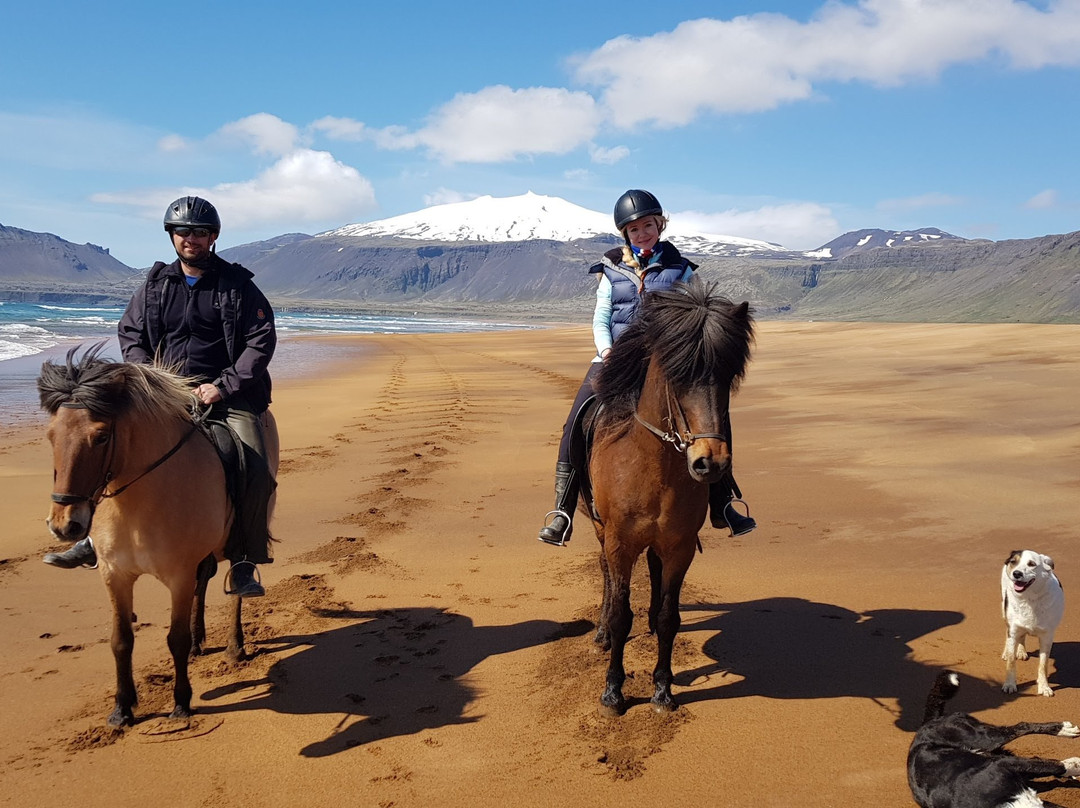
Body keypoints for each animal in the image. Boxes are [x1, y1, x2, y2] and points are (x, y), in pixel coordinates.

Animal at [38, 344, 278, 726]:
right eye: (51, 435)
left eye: (101, 436)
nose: (65, 525)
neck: (139, 501)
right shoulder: (115, 575)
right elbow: (121, 640)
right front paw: (122, 708)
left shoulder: (178, 575)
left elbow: (174, 638)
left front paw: (181, 702)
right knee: (203, 581)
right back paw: (199, 641)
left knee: (236, 587)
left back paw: (233, 647)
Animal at [587, 277, 754, 716]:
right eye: (677, 375)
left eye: (727, 376)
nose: (710, 462)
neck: (654, 469)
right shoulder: (619, 542)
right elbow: (620, 614)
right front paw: (613, 691)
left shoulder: (679, 546)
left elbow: (669, 617)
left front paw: (663, 690)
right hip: (598, 529)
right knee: (605, 574)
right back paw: (601, 633)